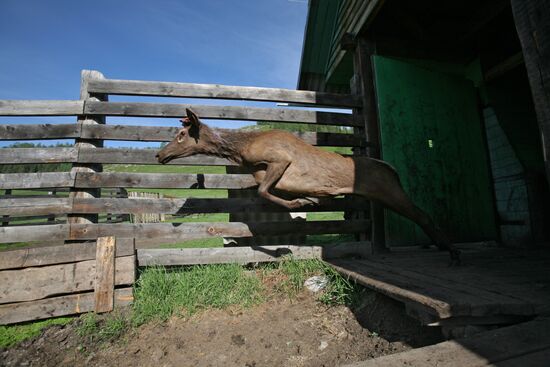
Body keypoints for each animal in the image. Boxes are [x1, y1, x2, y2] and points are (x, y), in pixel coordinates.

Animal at [156, 109, 462, 264]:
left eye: (182, 134)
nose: (159, 154)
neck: (240, 152)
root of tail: (391, 168)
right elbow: (267, 191)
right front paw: (307, 201)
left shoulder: (280, 159)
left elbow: (264, 192)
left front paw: (300, 204)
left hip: (390, 191)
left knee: (422, 214)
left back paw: (452, 251)